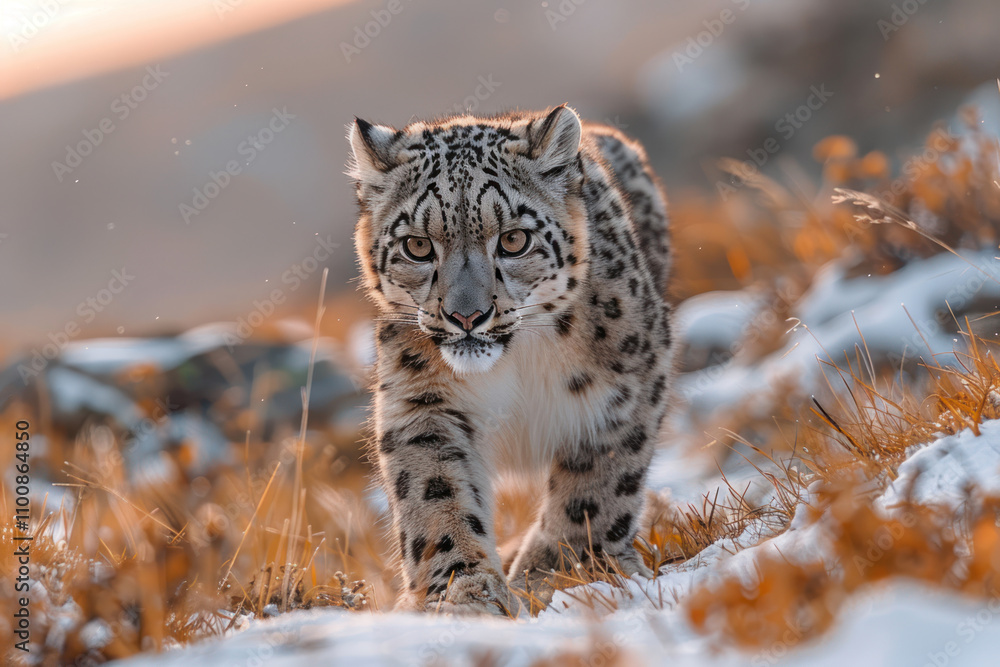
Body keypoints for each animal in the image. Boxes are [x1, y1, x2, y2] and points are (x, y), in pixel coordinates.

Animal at [348, 105, 673, 615]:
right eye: (417, 246)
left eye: (514, 240)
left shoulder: (629, 386)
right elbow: (436, 492)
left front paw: (559, 573)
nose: (466, 316)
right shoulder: (422, 403)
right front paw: (463, 593)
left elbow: (596, 489)